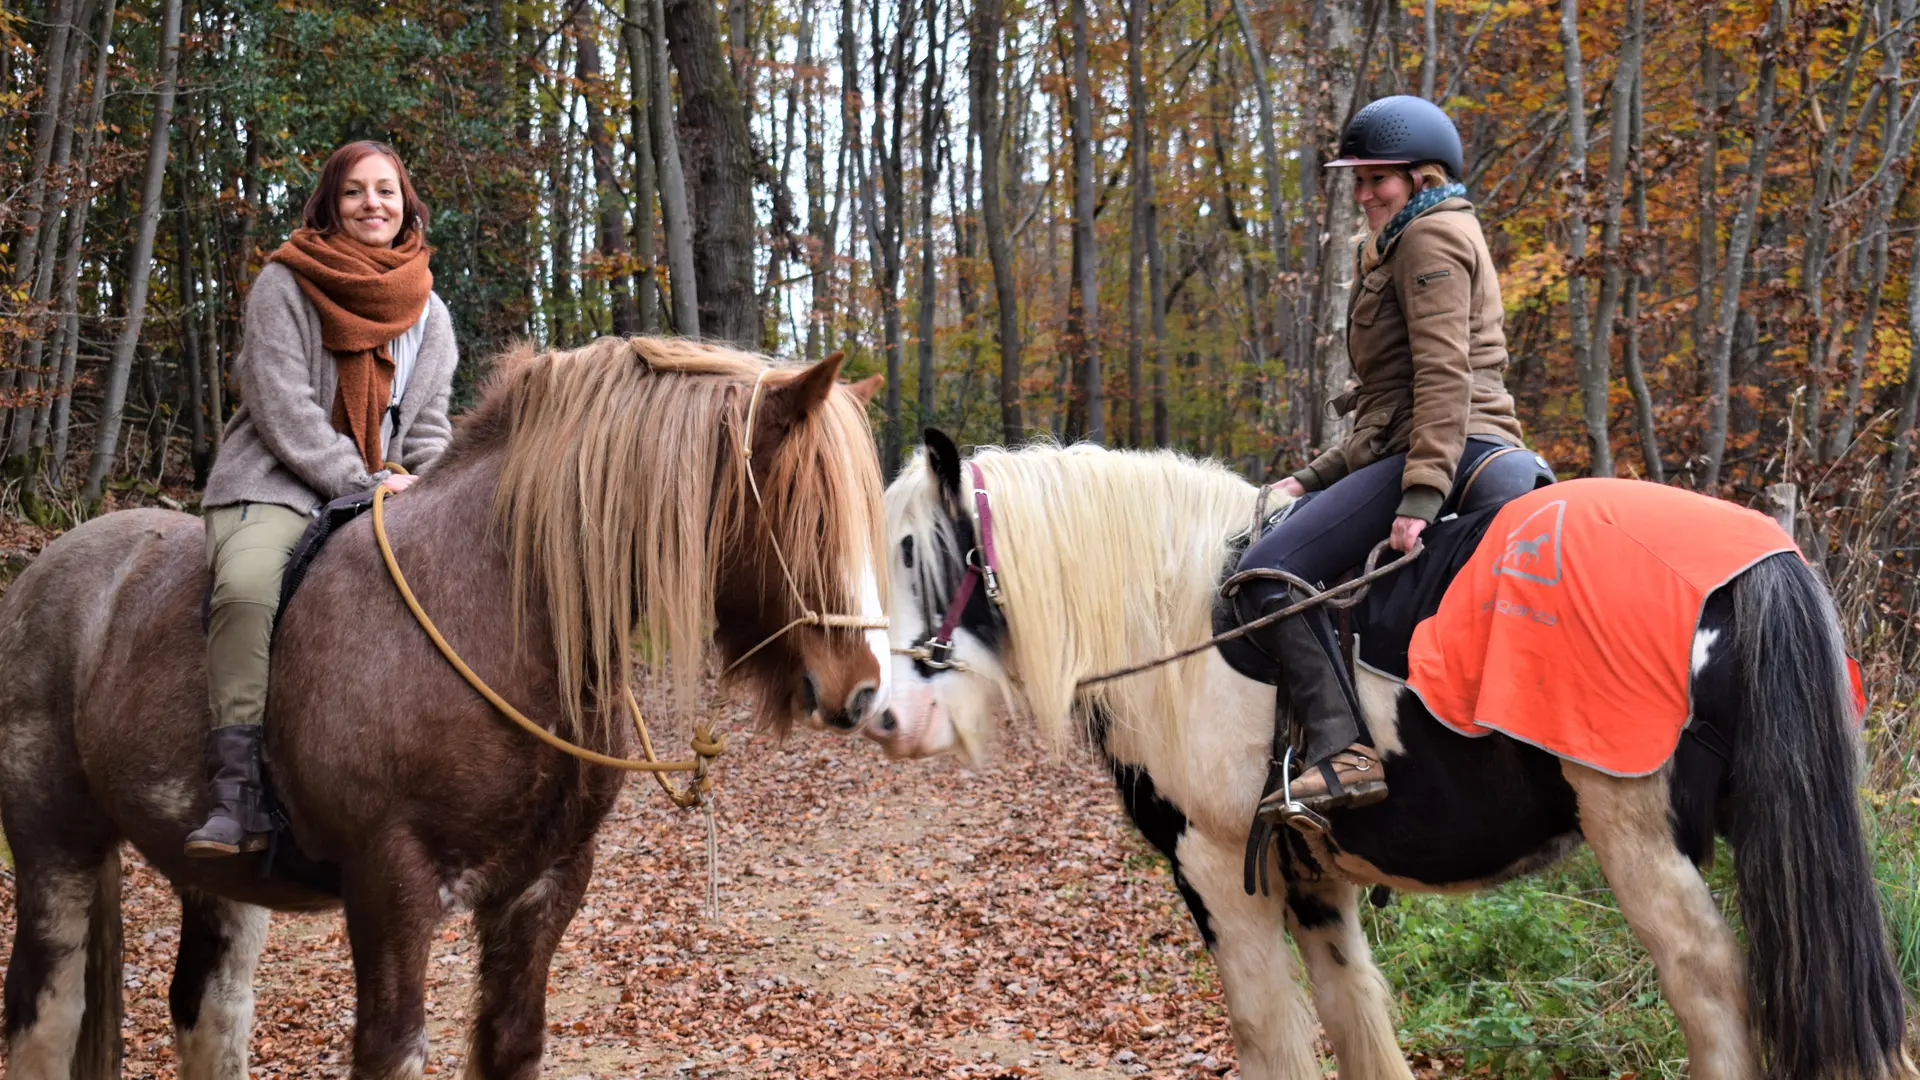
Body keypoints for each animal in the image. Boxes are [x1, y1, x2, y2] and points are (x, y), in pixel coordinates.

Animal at [0, 337, 891, 1080]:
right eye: (807, 510)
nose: (863, 688)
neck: (495, 615)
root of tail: (48, 569)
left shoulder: (546, 885)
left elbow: (511, 1042)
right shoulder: (390, 889)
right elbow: (393, 1048)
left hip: (212, 875)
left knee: (208, 1014)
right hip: (54, 846)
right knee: (45, 1016)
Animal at [855, 429, 1913, 1080]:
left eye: (920, 554)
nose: (884, 715)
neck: (1170, 613)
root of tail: (1753, 561)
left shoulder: (1213, 868)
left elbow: (1268, 1035)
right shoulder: (1311, 875)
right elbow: (1354, 1014)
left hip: (1645, 844)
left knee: (1713, 998)